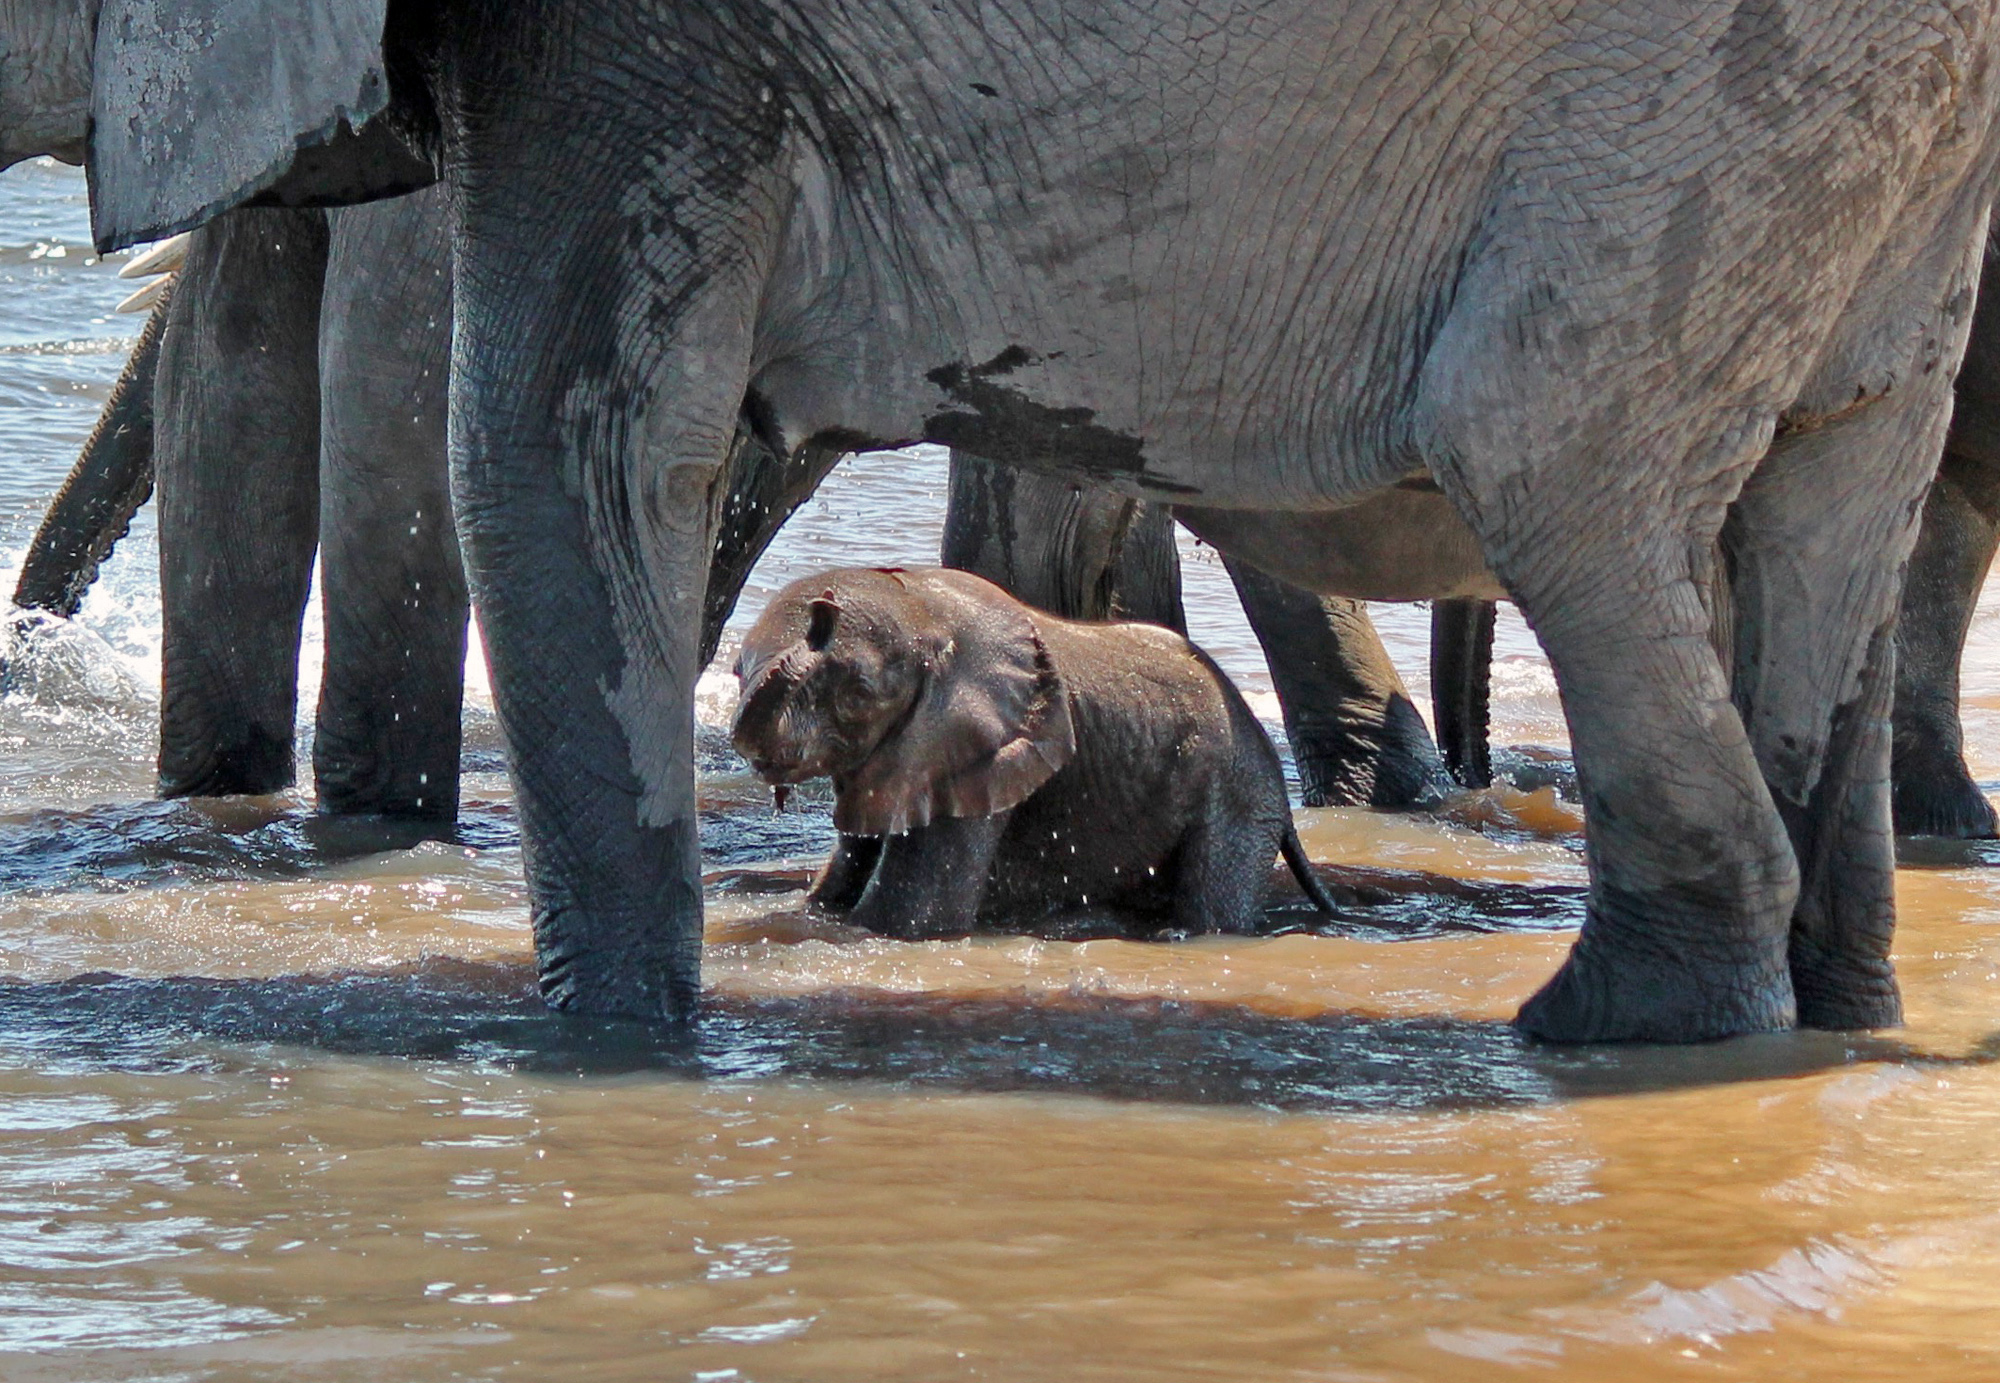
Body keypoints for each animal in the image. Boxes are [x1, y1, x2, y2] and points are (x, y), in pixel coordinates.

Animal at [728, 563, 1336, 939]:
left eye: (858, 694)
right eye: (736, 672)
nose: (822, 609)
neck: (919, 605)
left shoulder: (974, 756)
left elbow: (906, 919)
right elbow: (835, 887)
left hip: (1238, 797)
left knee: (1214, 901)